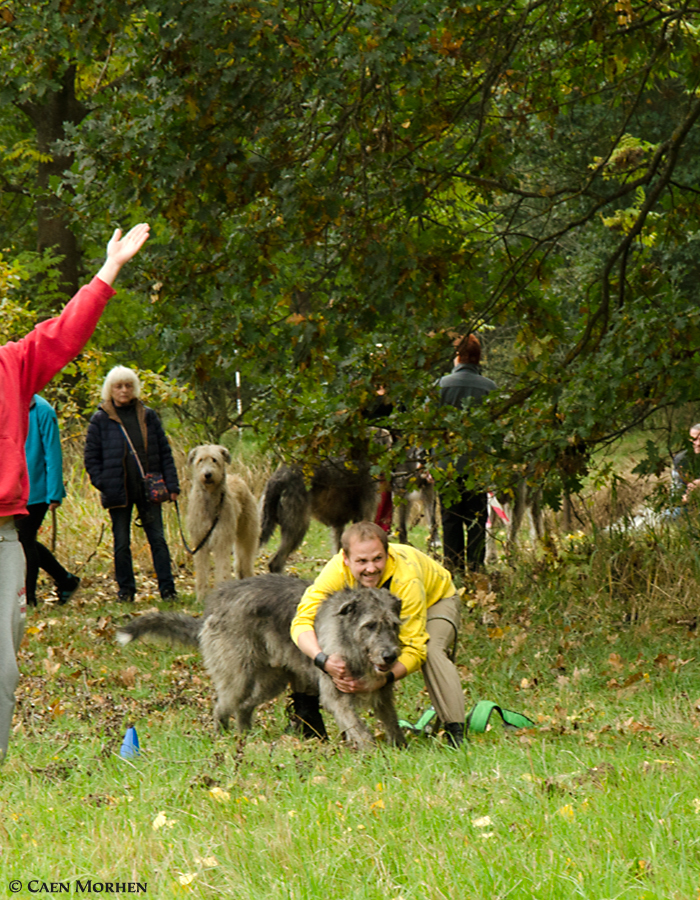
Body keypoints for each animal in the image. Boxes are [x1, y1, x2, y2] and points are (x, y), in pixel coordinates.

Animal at [115, 572, 404, 748]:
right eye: (370, 625)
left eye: (393, 624)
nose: (390, 655)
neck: (352, 642)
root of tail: (216, 605)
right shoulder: (336, 694)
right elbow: (358, 727)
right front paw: (372, 753)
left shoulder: (382, 693)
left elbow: (391, 720)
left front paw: (400, 748)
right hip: (237, 676)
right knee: (222, 706)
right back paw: (223, 739)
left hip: (271, 680)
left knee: (244, 706)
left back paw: (246, 736)